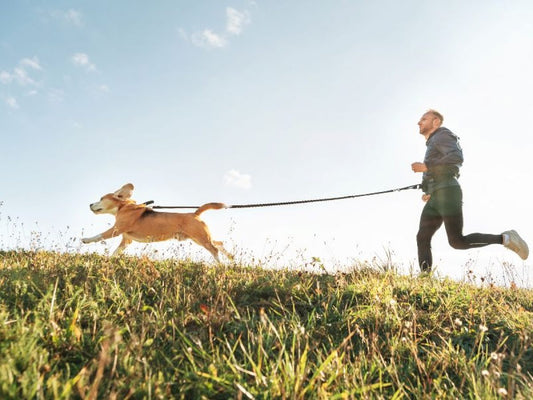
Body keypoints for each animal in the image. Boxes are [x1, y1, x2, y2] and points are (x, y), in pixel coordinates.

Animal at [82, 183, 232, 260]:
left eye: (101, 198)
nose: (90, 204)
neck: (123, 207)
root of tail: (195, 213)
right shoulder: (126, 240)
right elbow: (115, 252)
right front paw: (110, 260)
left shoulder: (116, 229)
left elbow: (99, 236)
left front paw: (86, 240)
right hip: (198, 238)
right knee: (219, 243)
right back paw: (230, 258)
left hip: (201, 237)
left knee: (214, 249)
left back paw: (220, 264)